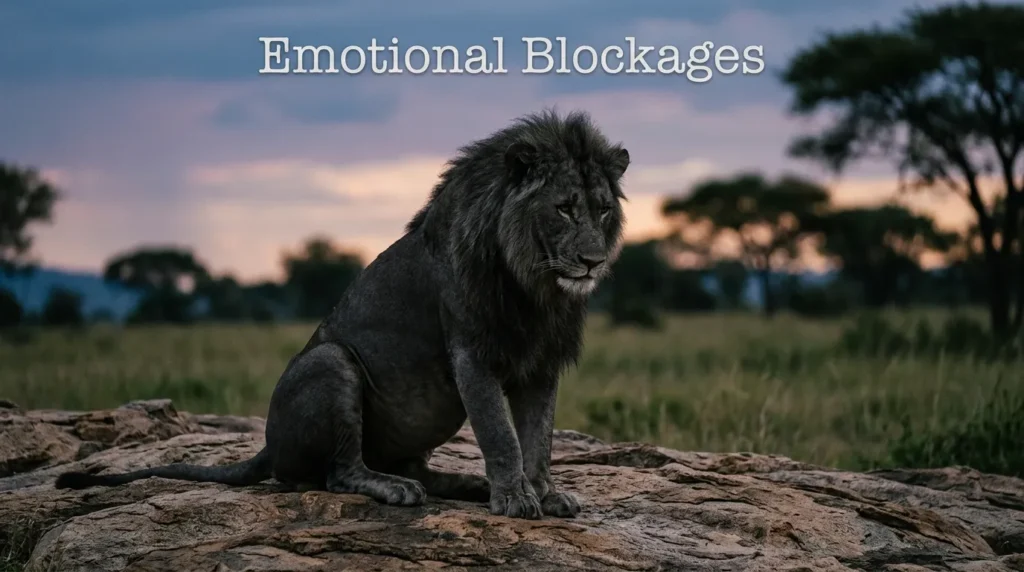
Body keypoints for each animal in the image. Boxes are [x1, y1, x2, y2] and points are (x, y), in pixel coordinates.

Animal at [56, 109, 630, 520]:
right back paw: (401, 489)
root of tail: (268, 445)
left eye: (602, 210)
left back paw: (465, 483)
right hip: (331, 361)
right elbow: (501, 436)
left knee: (410, 467)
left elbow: (539, 439)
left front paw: (544, 494)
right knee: (339, 473)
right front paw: (514, 498)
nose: (593, 261)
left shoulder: (542, 362)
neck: (535, 286)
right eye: (563, 208)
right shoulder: (473, 353)